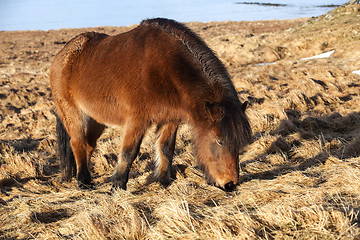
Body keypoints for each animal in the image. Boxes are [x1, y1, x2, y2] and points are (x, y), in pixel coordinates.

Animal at [50, 17, 253, 192]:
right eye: (219, 140)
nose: (230, 184)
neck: (165, 69)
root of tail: (63, 55)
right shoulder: (137, 120)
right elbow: (129, 152)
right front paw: (118, 185)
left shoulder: (170, 119)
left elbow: (166, 148)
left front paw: (164, 180)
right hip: (73, 113)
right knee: (78, 142)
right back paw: (83, 181)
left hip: (96, 120)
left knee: (89, 145)